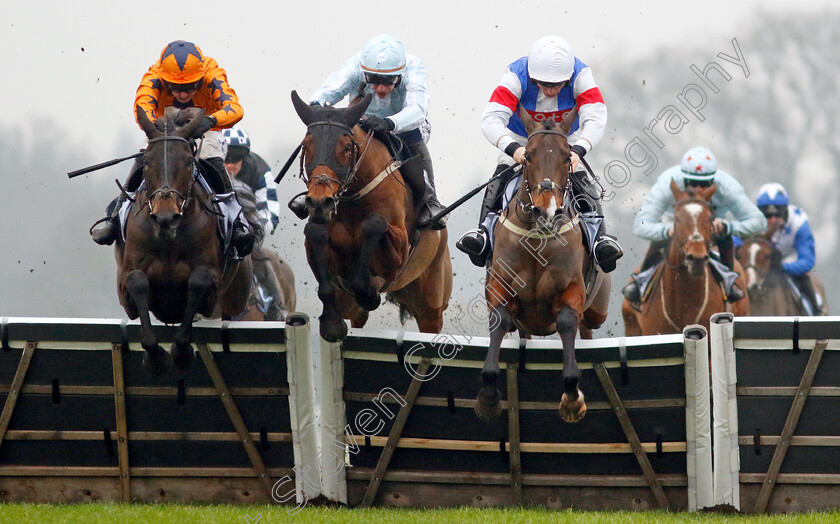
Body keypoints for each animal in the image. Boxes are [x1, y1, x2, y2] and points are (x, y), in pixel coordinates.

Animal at [116, 105, 253, 372]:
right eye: (146, 161)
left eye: (189, 161)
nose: (165, 217)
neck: (168, 239)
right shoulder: (126, 282)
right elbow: (137, 282)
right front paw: (155, 357)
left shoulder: (211, 282)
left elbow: (198, 281)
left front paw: (180, 352)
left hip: (236, 298)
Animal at [292, 91, 456, 342]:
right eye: (306, 145)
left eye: (347, 147)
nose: (320, 200)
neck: (353, 198)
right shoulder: (339, 284)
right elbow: (315, 233)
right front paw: (331, 323)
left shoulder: (400, 249)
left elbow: (374, 224)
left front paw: (369, 292)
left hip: (431, 303)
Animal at [472, 108, 612, 424]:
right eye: (529, 156)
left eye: (566, 157)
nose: (546, 210)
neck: (537, 239)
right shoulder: (499, 286)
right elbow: (500, 319)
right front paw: (488, 395)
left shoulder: (572, 289)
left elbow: (567, 321)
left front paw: (572, 397)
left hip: (596, 311)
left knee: (586, 329)